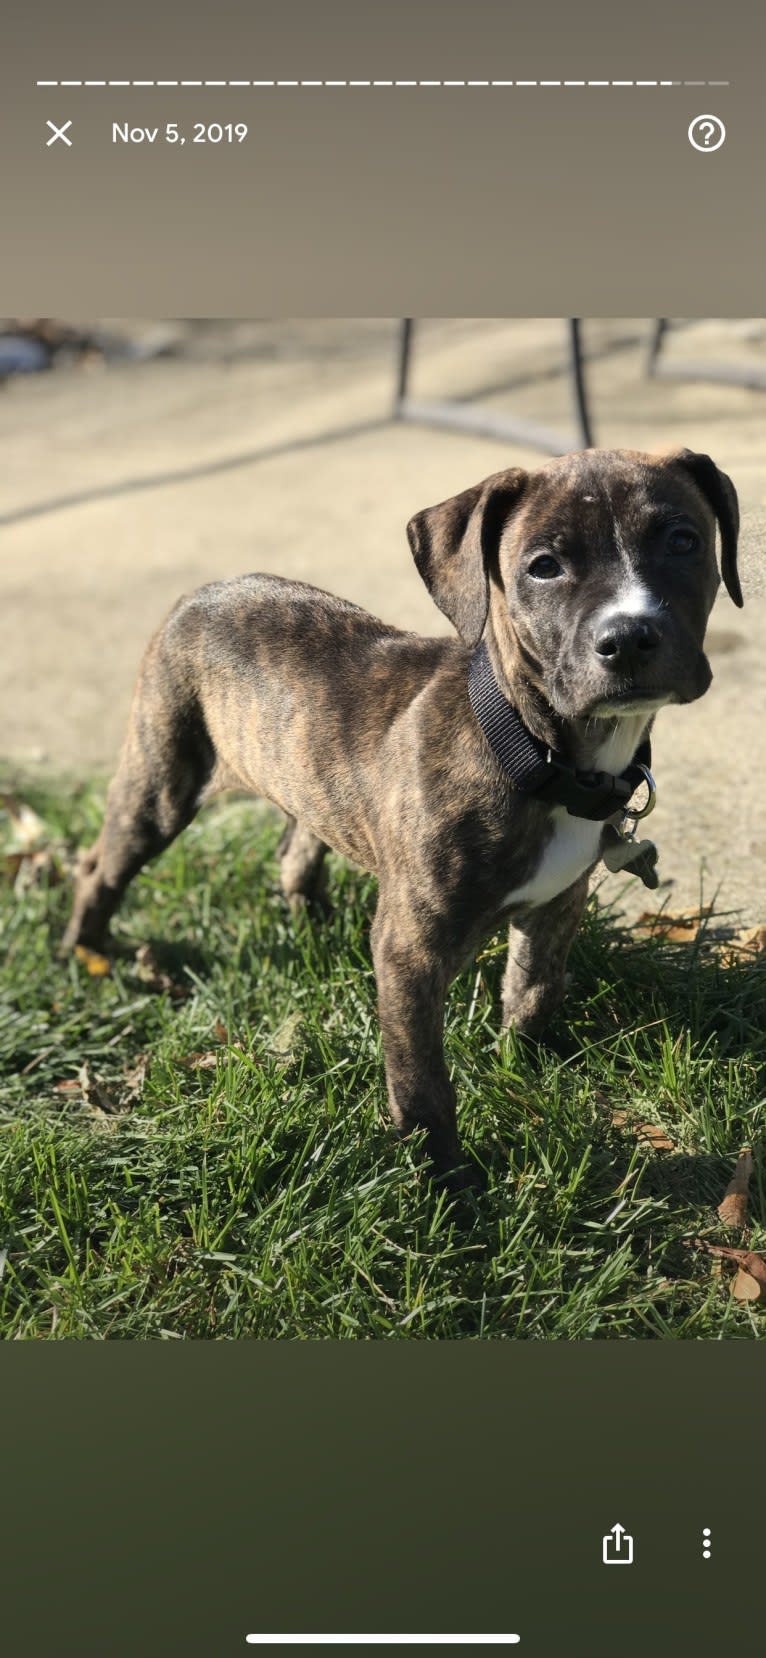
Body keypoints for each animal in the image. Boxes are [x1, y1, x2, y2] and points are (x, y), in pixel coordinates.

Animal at [65, 444, 742, 1180]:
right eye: (544, 566)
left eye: (683, 540)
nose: (628, 637)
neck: (531, 747)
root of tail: (202, 593)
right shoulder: (409, 951)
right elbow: (421, 1077)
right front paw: (447, 1180)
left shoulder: (556, 904)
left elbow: (533, 990)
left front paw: (524, 1065)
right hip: (161, 776)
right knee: (102, 865)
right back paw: (88, 952)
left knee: (297, 845)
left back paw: (309, 919)